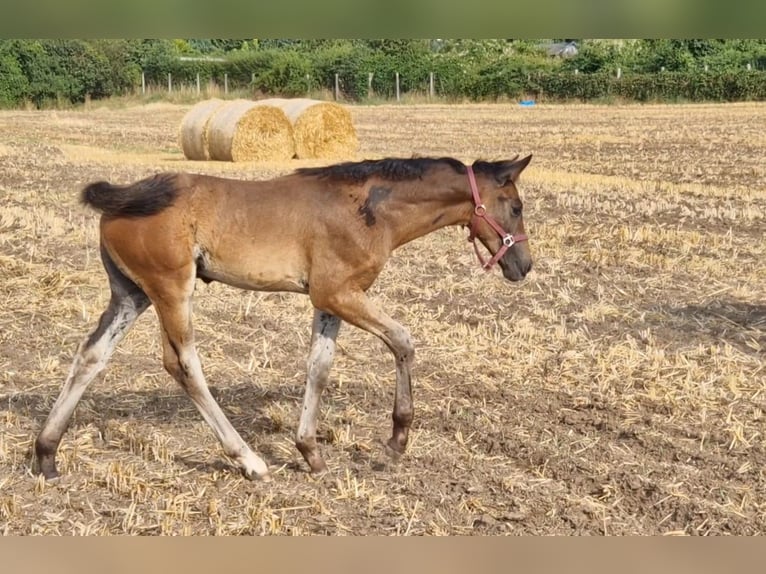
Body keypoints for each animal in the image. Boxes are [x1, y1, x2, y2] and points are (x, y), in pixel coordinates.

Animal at [34, 155, 536, 484]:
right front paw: (396, 439)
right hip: (170, 289)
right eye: (516, 207)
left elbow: (319, 367)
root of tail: (124, 196)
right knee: (182, 364)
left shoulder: (328, 300)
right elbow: (402, 340)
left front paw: (310, 452)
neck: (370, 207)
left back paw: (45, 453)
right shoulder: (338, 292)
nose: (523, 266)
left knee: (91, 355)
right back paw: (249, 461)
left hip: (131, 293)